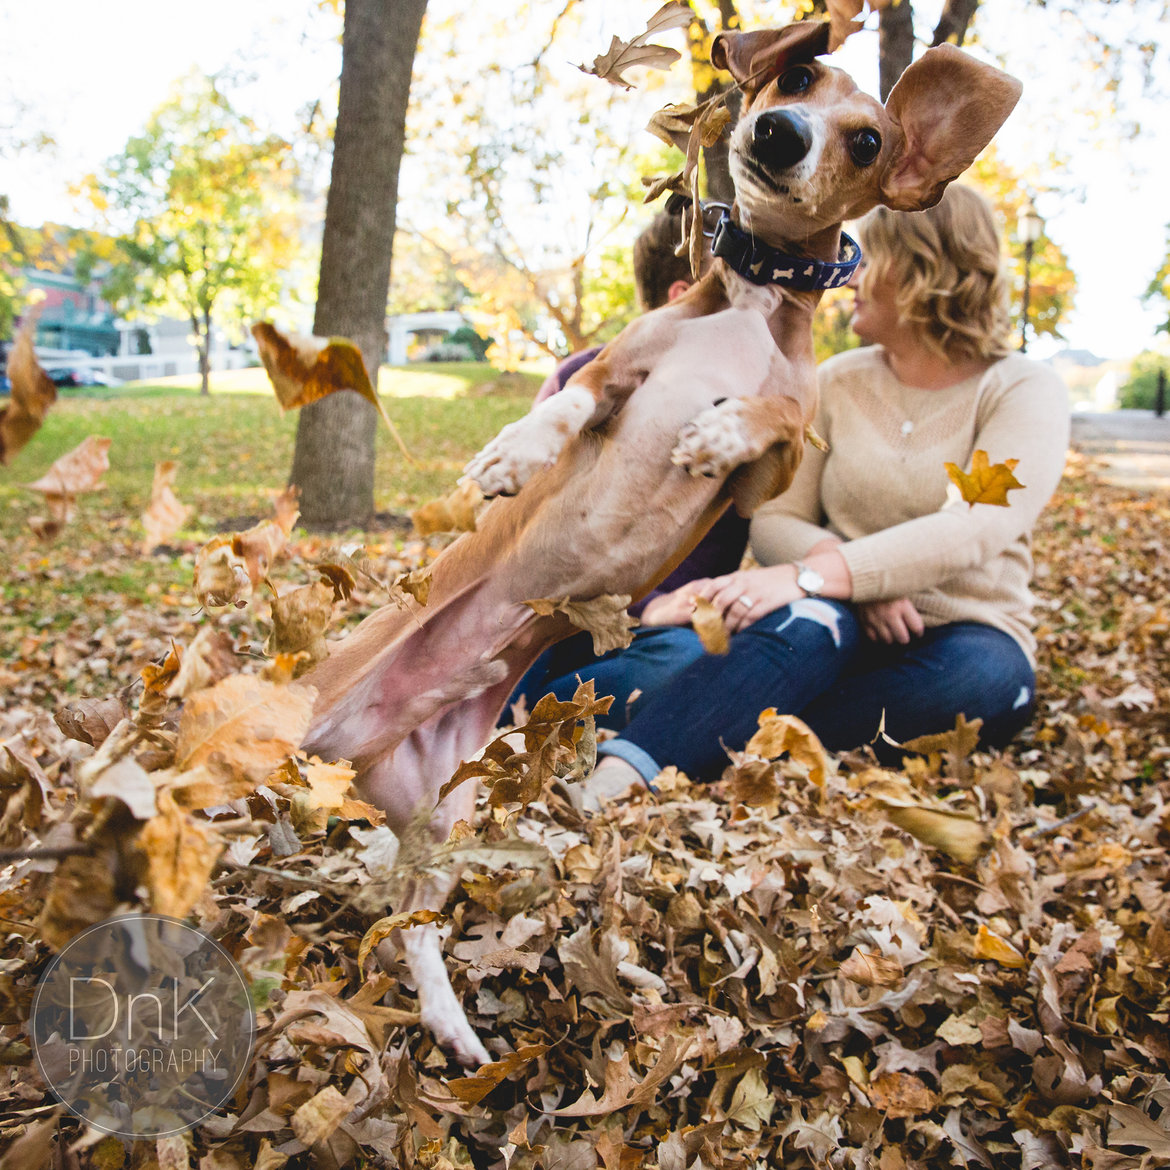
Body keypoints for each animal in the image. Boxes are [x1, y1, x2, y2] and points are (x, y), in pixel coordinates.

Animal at [299, 22, 1015, 1067]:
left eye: (868, 142)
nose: (782, 133)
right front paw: (516, 454)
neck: (749, 306)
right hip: (286, 717)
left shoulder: (767, 474)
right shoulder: (615, 374)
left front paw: (717, 429)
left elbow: (770, 423)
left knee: (418, 929)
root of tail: (367, 749)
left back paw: (453, 1026)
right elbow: (570, 406)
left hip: (449, 816)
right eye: (799, 74)